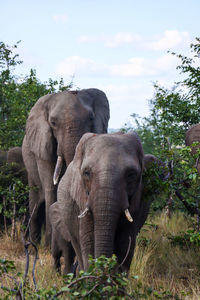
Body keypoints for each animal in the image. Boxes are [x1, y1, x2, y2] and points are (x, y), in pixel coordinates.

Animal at [21, 88, 109, 246]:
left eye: (91, 118)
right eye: (53, 123)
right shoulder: (42, 146)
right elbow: (51, 186)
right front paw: (48, 246)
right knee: (35, 205)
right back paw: (34, 244)